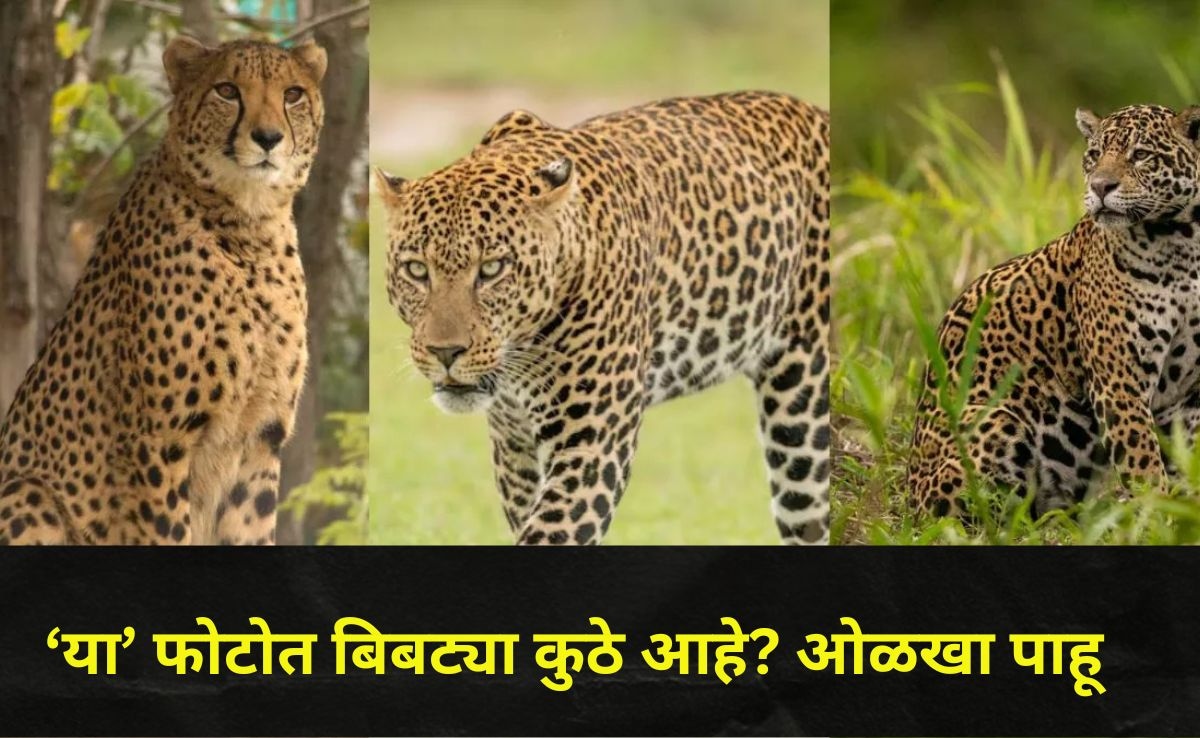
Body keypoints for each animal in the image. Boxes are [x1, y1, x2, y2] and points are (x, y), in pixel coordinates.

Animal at [0, 35, 327, 543]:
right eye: (227, 91)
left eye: (292, 94)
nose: (269, 138)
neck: (249, 227)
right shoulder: (161, 440)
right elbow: (165, 530)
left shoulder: (261, 439)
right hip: (28, 491)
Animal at [377, 91, 830, 545]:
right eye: (416, 270)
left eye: (491, 269)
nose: (445, 352)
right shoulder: (514, 449)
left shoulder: (591, 444)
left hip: (802, 413)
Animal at [909, 103, 1200, 518]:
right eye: (1094, 155)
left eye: (1141, 155)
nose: (1100, 187)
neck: (1180, 244)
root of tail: (908, 490)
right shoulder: (1118, 381)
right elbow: (1142, 462)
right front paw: (1157, 515)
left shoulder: (1190, 397)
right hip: (994, 418)